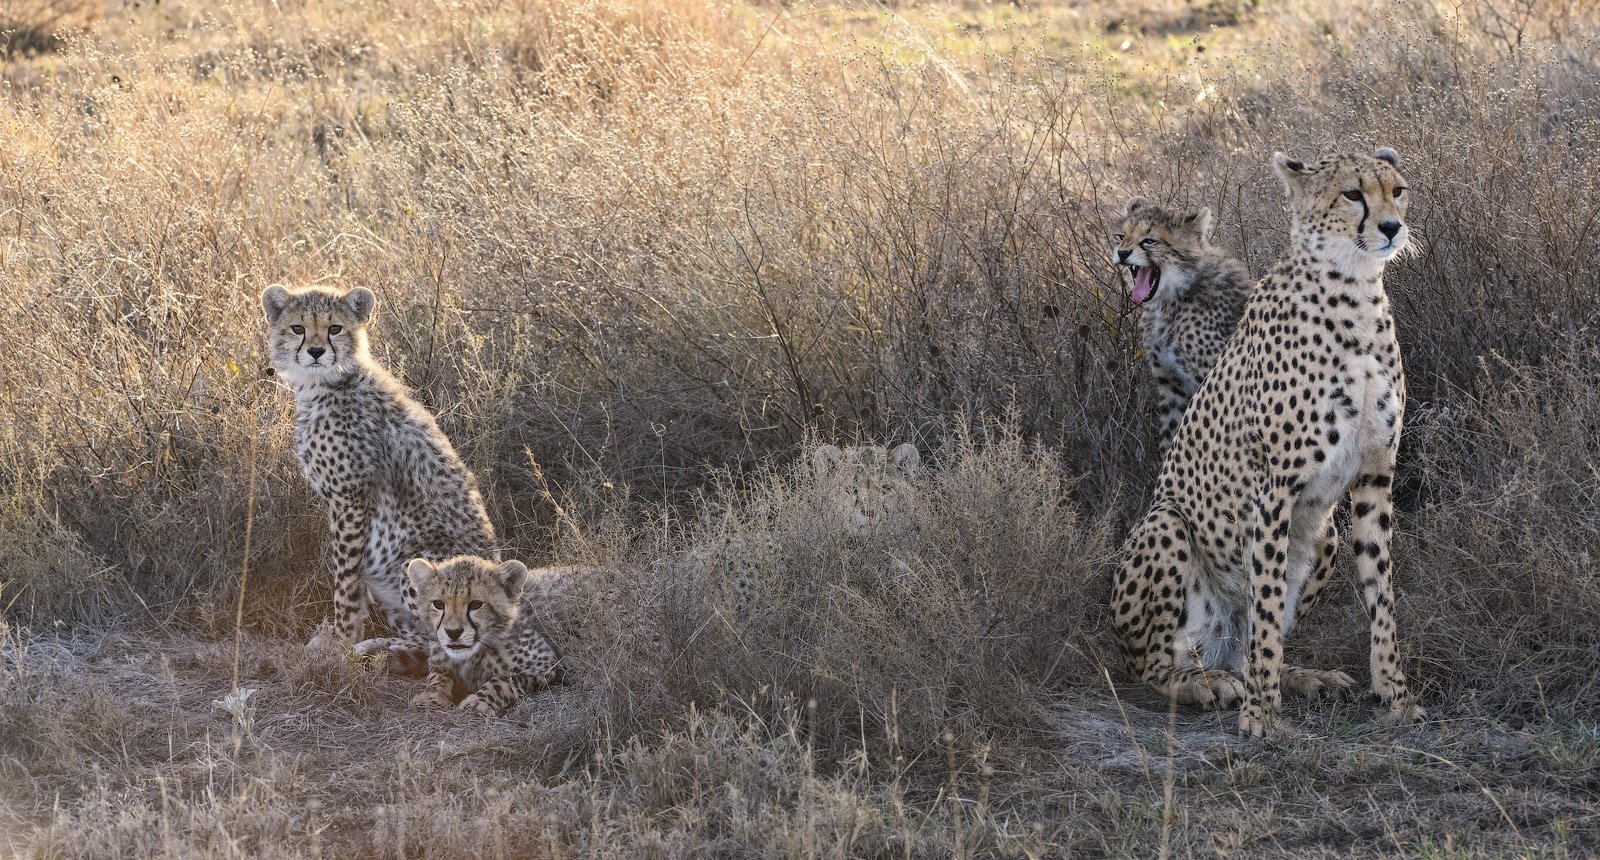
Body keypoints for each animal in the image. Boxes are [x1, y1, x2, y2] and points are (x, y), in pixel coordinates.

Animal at [259, 284, 496, 664]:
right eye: (298, 328)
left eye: (335, 328)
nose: (315, 351)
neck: (326, 383)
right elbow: (352, 583)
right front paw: (337, 639)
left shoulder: (350, 500)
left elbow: (344, 581)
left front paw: (340, 642)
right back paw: (381, 647)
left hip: (412, 560)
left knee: (449, 645)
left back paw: (377, 651)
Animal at [1113, 148, 1427, 735]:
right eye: (1353, 194)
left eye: (1397, 190)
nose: (1392, 228)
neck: (1355, 290)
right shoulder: (1274, 486)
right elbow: (1266, 600)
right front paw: (1260, 715)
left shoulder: (1375, 473)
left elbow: (1381, 594)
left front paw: (1395, 696)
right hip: (1166, 524)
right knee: (1156, 664)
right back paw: (1205, 683)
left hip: (1324, 534)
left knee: (1249, 643)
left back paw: (1300, 675)